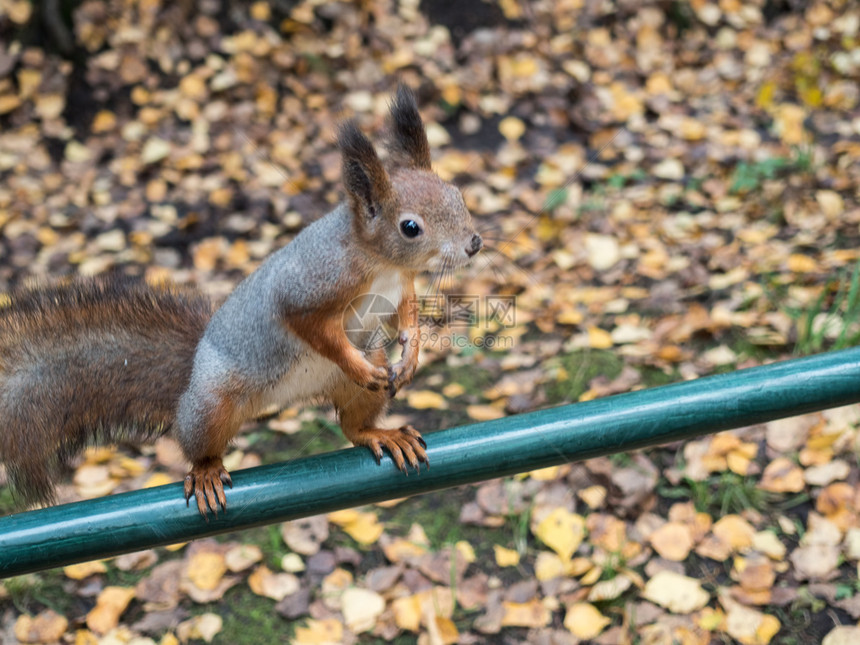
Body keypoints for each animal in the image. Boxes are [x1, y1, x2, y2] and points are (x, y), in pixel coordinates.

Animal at [0, 85, 484, 520]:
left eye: (457, 194)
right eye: (410, 227)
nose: (474, 243)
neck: (379, 262)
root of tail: (193, 369)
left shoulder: (400, 284)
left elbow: (407, 314)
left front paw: (413, 352)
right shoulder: (307, 289)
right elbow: (312, 328)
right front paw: (358, 361)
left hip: (352, 386)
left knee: (353, 425)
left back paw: (381, 433)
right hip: (213, 403)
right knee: (196, 441)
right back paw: (206, 471)